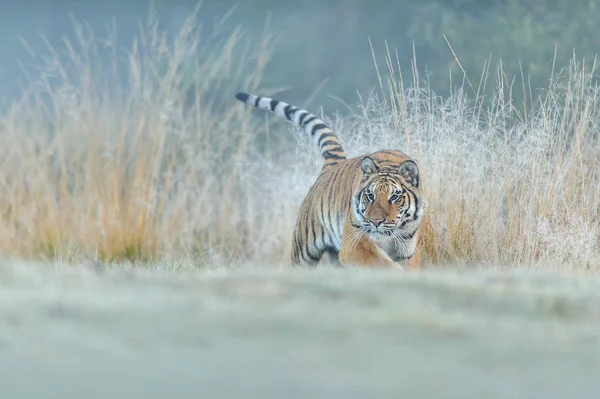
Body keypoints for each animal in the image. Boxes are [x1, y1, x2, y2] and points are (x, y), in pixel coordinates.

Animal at [234, 92, 426, 270]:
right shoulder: (354, 243)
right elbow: (383, 264)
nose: (376, 222)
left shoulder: (407, 249)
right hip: (304, 251)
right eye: (370, 196)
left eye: (394, 197)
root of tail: (334, 164)